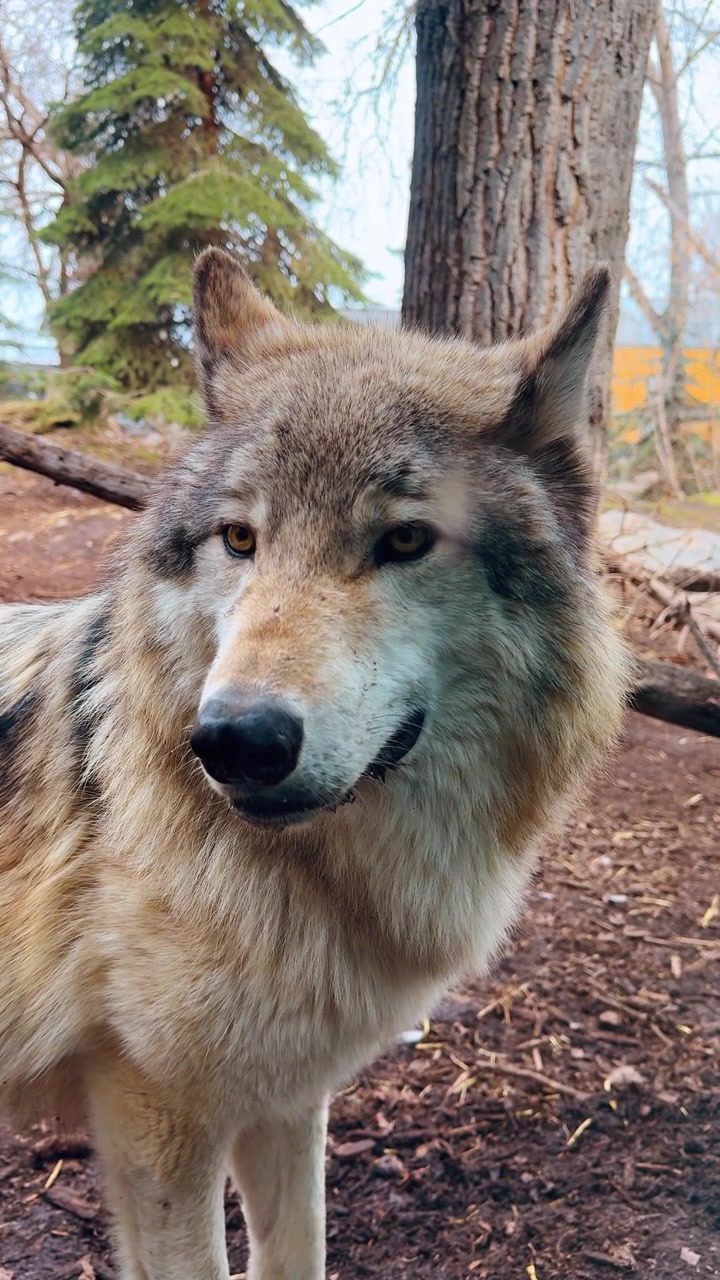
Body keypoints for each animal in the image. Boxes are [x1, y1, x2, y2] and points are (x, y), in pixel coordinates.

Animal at [0, 248, 627, 1279]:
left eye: (405, 540)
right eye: (240, 539)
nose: (236, 740)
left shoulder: (287, 1094)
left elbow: (298, 1252)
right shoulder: (157, 1119)